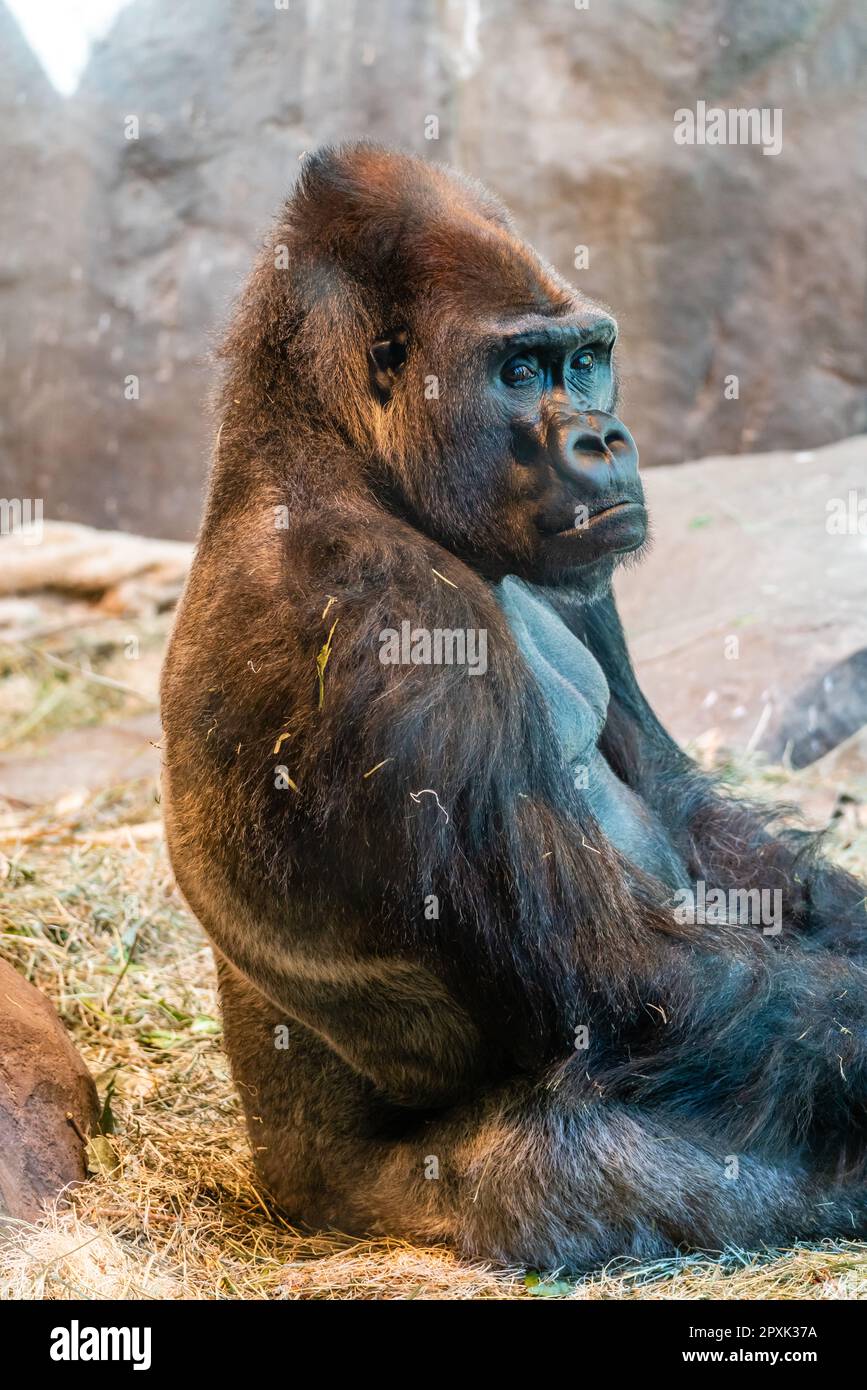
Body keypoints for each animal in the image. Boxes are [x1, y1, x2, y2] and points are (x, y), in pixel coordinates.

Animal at [160, 143, 867, 1269]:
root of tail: (279, 1190)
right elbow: (613, 980)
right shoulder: (387, 617)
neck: (330, 449)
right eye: (522, 370)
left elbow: (675, 799)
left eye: (585, 361)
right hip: (382, 1203)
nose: (603, 440)